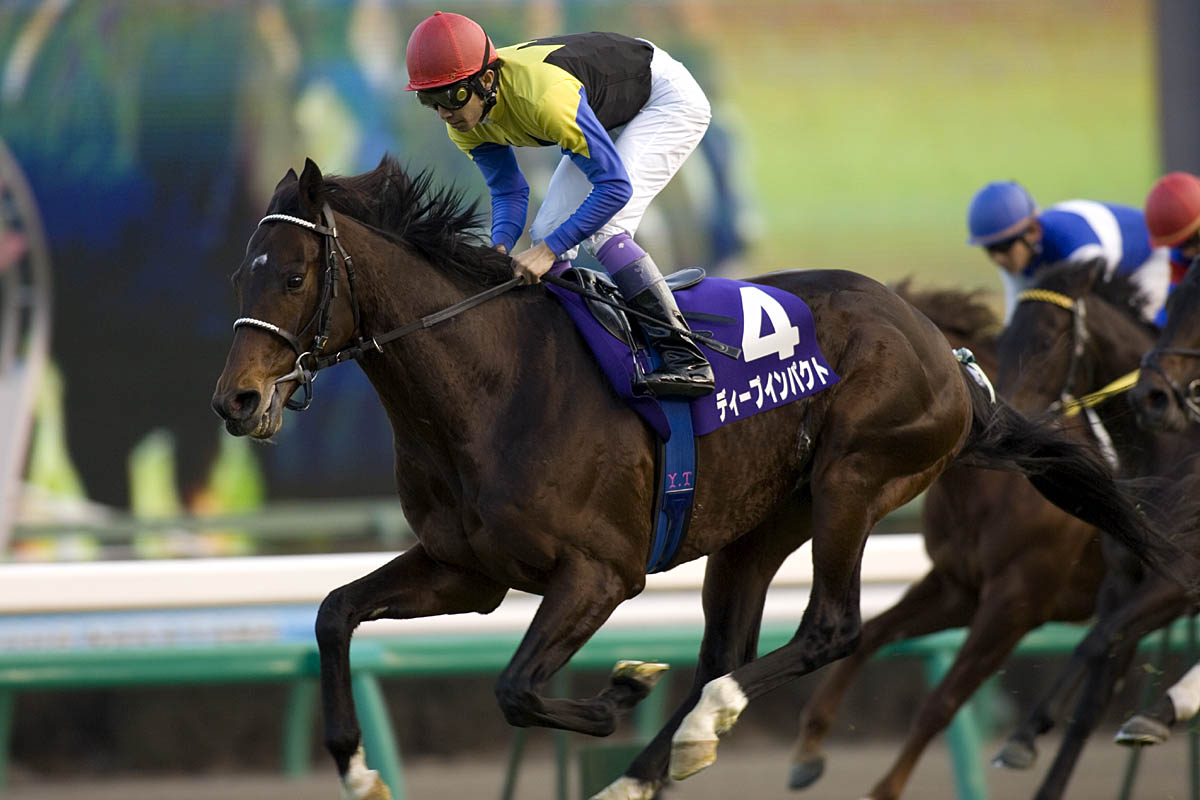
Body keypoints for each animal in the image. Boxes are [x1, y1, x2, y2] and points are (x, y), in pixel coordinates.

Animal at [788, 282, 1106, 800]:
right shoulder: (959, 587)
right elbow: (877, 633)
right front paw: (808, 751)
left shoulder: (1018, 601)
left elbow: (943, 701)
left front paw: (884, 790)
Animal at [987, 261, 1200, 800]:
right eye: (1002, 338)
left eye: (1046, 339)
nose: (1153, 398)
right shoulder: (1124, 580)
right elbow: (1095, 692)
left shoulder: (1180, 579)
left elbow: (1096, 640)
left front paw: (1027, 732)